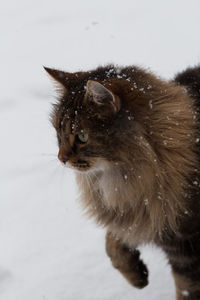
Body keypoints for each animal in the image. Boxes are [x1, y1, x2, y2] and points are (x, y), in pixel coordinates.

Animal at [44, 64, 200, 298]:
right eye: (58, 134)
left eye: (82, 137)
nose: (61, 158)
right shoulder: (133, 213)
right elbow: (112, 241)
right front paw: (136, 276)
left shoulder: (186, 246)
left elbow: (186, 290)